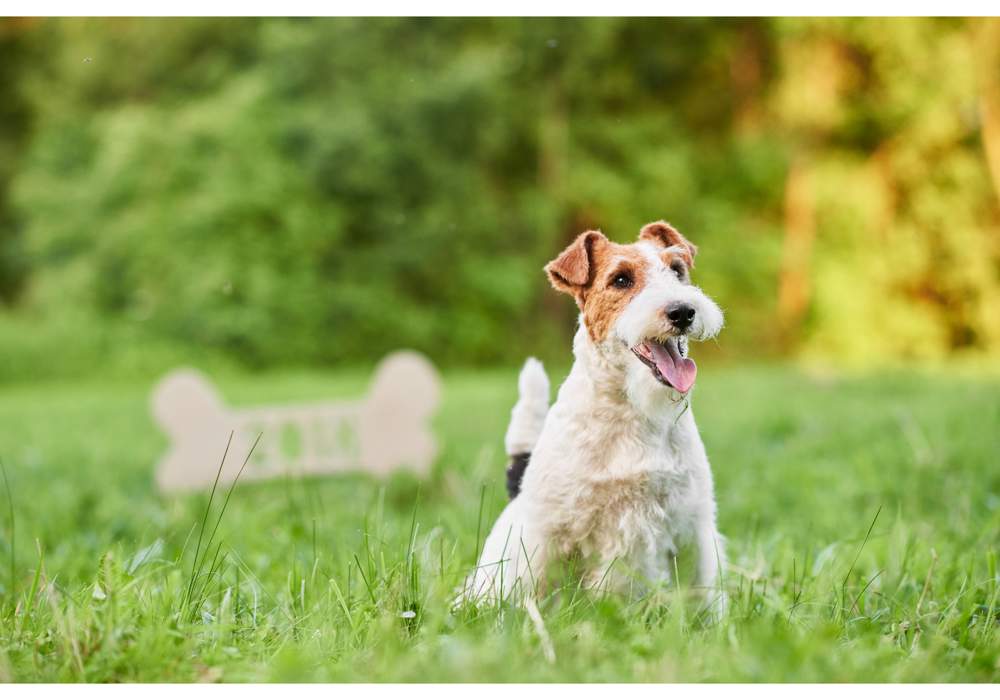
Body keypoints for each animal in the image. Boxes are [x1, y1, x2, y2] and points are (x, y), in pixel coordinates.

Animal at [460, 220, 728, 616]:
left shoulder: (693, 526)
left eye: (678, 270)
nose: (682, 312)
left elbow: (702, 597)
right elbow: (532, 592)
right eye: (621, 279)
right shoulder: (545, 534)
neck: (632, 410)